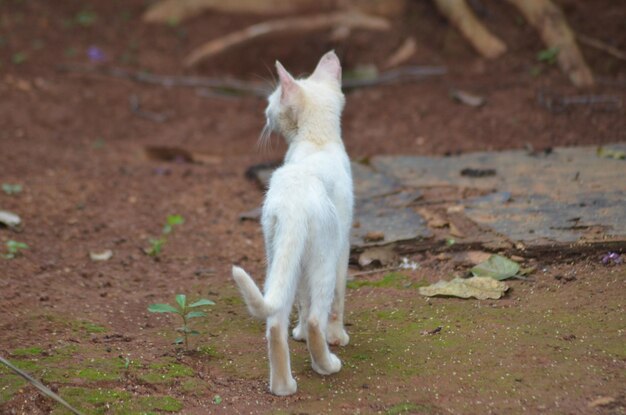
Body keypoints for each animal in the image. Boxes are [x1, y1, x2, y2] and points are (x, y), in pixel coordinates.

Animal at [233, 51, 354, 396]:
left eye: (271, 101)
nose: (264, 113)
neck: (317, 139)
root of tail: (293, 204)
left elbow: (300, 300)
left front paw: (297, 333)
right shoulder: (344, 244)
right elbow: (337, 298)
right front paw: (337, 335)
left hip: (275, 251)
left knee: (276, 320)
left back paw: (283, 386)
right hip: (324, 254)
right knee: (316, 315)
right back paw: (326, 364)